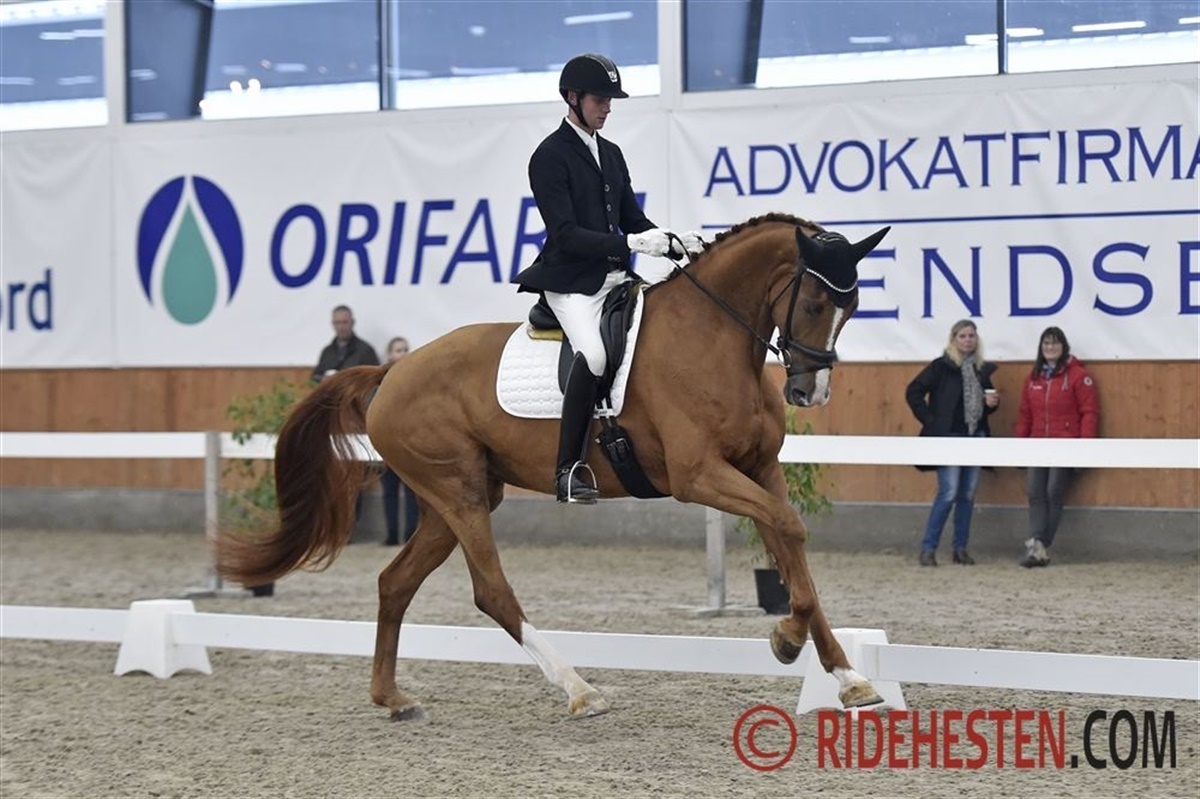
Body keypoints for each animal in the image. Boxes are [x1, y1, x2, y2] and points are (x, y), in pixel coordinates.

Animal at [218, 212, 890, 721]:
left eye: (853, 304)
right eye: (814, 301)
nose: (809, 393)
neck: (713, 337)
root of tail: (393, 369)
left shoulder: (759, 471)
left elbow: (788, 540)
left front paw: (846, 675)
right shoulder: (699, 475)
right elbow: (789, 529)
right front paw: (786, 639)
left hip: (452, 500)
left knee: (395, 583)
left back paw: (392, 697)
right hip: (458, 493)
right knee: (491, 591)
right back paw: (580, 690)